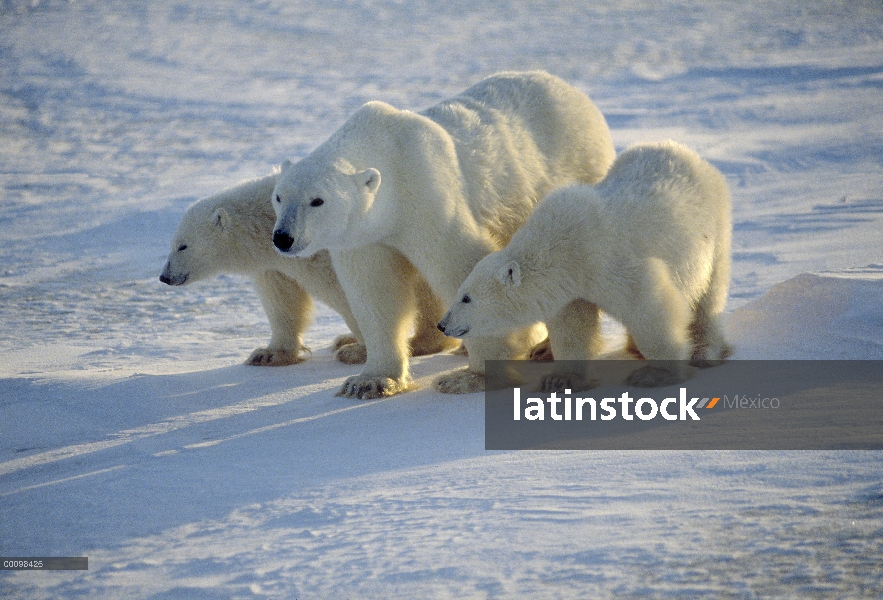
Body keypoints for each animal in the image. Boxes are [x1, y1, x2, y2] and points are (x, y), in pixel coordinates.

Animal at [160, 172, 460, 366]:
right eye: (172, 244)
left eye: (183, 246)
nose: (164, 277)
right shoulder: (275, 264)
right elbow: (283, 302)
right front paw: (268, 354)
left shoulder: (321, 255)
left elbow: (351, 296)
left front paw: (359, 351)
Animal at [270, 70, 616, 398]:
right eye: (279, 196)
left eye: (317, 200)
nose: (283, 238)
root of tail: (577, 95)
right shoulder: (364, 236)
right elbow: (375, 293)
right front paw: (370, 381)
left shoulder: (427, 196)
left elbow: (460, 266)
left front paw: (473, 376)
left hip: (571, 172)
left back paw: (545, 349)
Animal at [438, 142, 736, 392]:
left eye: (466, 297)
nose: (442, 325)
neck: (561, 247)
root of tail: (688, 154)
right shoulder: (571, 287)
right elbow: (573, 327)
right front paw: (561, 379)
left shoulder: (608, 260)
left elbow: (650, 307)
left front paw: (657, 373)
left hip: (713, 230)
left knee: (709, 296)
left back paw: (705, 351)